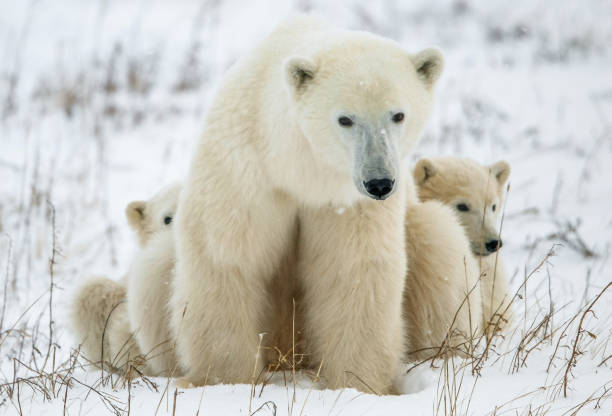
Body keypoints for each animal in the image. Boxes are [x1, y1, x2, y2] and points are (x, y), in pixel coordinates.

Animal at [170, 15, 442, 394]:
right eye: (345, 119)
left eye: (398, 115)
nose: (379, 183)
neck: (299, 171)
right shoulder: (247, 173)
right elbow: (228, 259)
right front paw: (227, 380)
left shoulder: (346, 202)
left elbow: (353, 271)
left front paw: (357, 383)